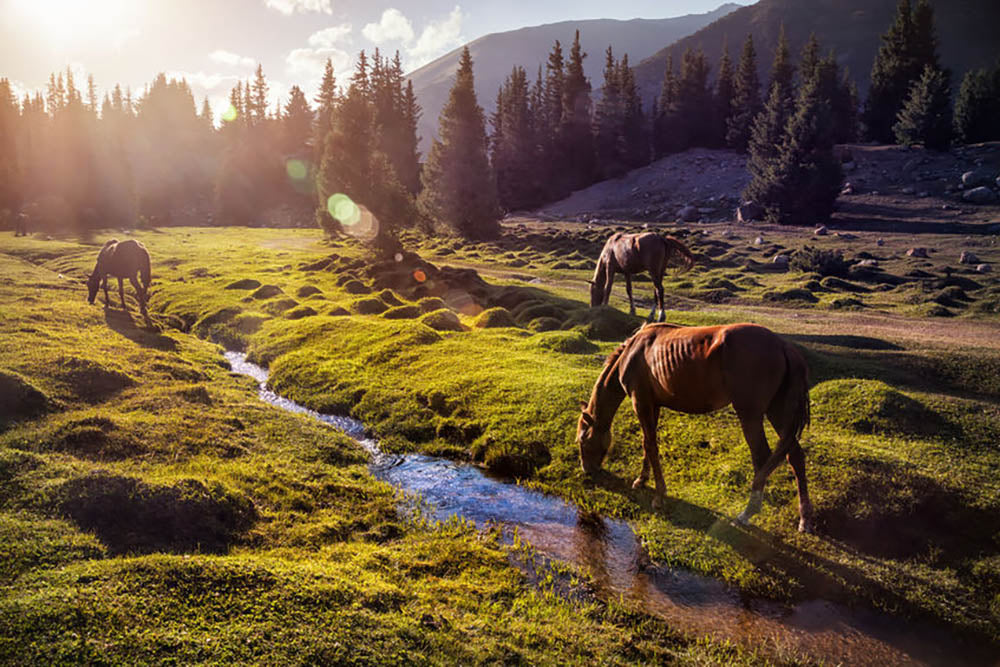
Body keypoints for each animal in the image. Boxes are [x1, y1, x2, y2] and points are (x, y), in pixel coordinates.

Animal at [577, 322, 814, 532]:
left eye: (582, 441)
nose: (586, 469)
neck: (633, 353)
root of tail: (783, 345)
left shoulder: (640, 403)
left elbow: (651, 445)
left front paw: (659, 495)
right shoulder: (653, 405)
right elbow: (647, 443)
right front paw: (642, 479)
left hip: (751, 415)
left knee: (762, 457)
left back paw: (748, 512)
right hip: (777, 411)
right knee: (795, 455)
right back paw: (804, 518)